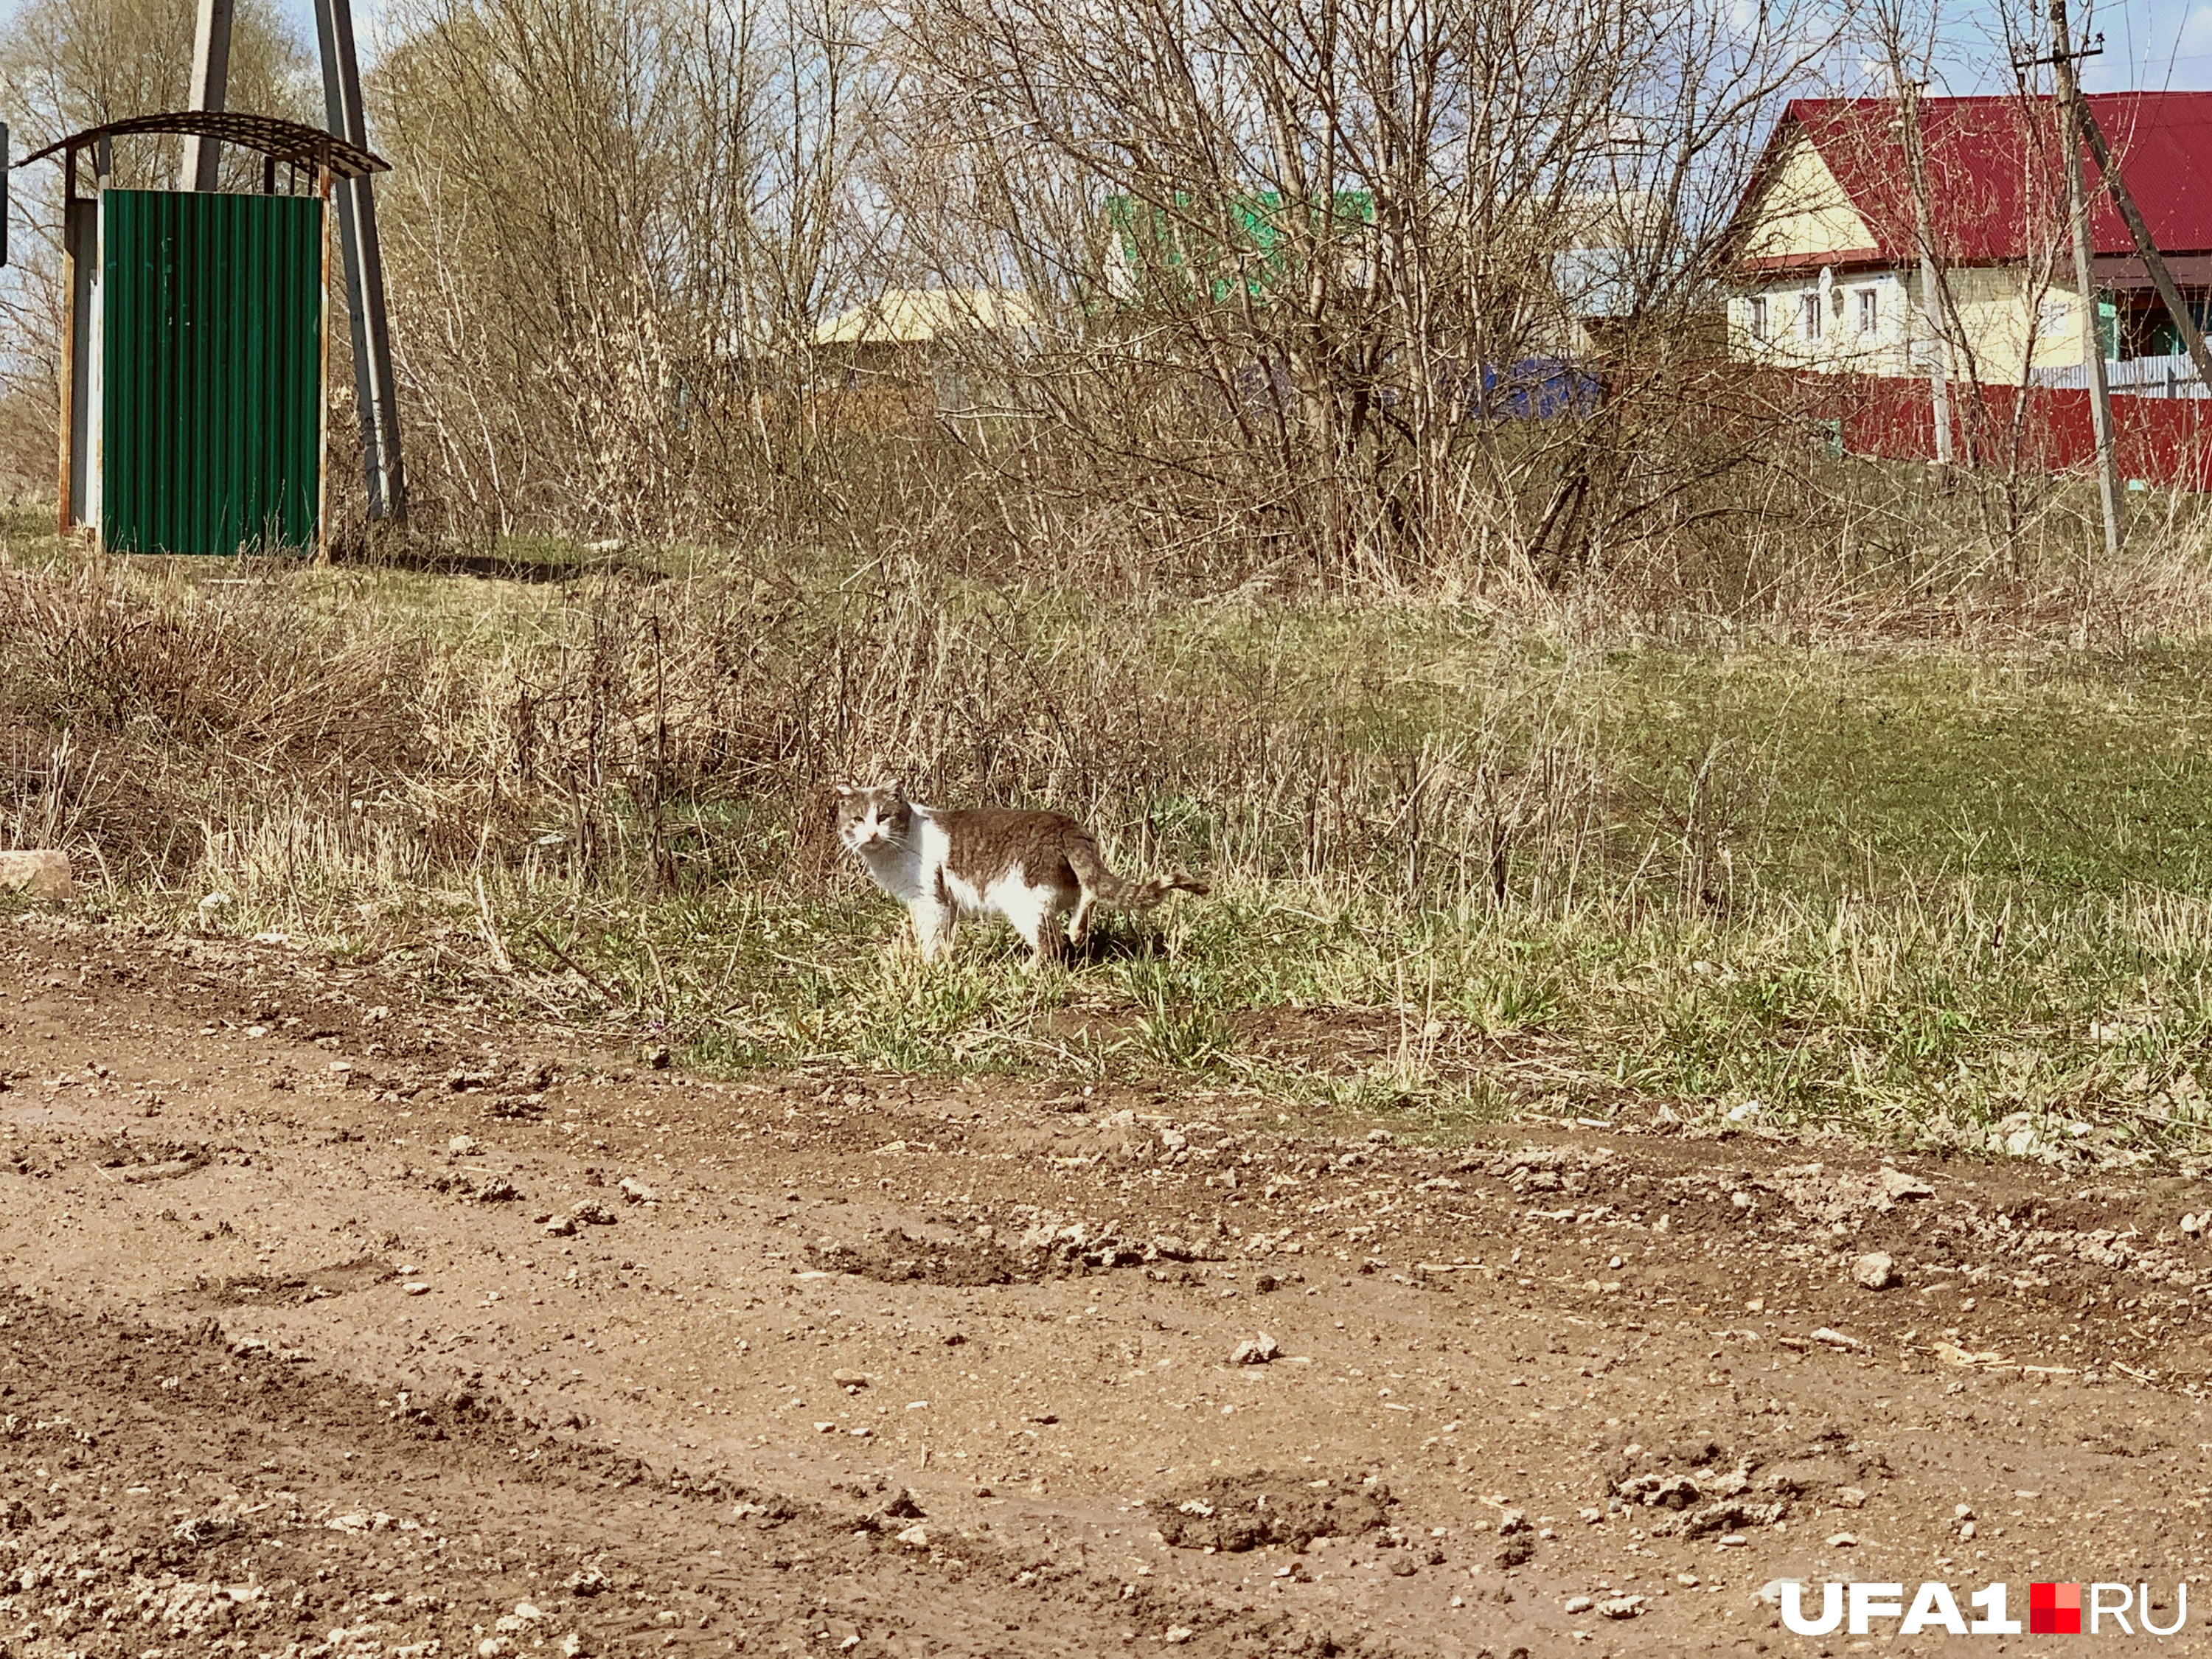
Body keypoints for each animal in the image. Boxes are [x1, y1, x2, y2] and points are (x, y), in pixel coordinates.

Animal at [832, 779, 1212, 960]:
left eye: (883, 816)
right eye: (858, 819)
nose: (871, 833)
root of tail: (1064, 825)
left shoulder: (929, 900)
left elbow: (930, 940)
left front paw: (928, 967)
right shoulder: (943, 905)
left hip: (1024, 898)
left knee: (1051, 946)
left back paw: (1028, 969)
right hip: (1062, 886)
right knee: (1088, 895)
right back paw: (1078, 930)